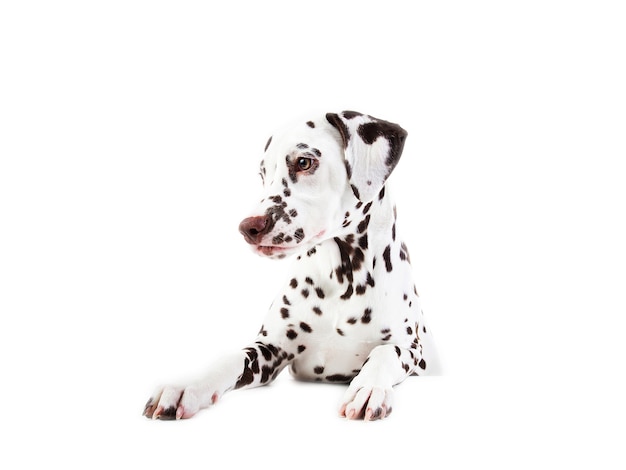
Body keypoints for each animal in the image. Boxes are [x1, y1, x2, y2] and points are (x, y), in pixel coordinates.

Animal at [143, 111, 436, 422]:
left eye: (304, 162)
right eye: (263, 174)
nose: (248, 228)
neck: (343, 279)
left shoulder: (408, 347)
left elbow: (384, 354)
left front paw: (367, 388)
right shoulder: (270, 350)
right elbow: (232, 357)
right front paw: (188, 385)